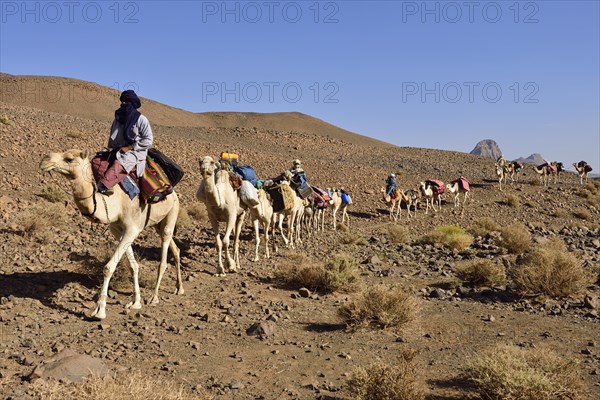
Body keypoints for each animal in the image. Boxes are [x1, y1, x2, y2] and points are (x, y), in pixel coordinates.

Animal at [39, 148, 183, 320]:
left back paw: (154, 297)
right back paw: (179, 288)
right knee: (175, 249)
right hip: (158, 223)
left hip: (173, 212)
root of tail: (173, 192)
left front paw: (99, 310)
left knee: (164, 256)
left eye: (69, 159)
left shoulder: (132, 229)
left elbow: (108, 267)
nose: (44, 160)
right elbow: (133, 266)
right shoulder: (118, 230)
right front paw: (135, 302)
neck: (115, 203)